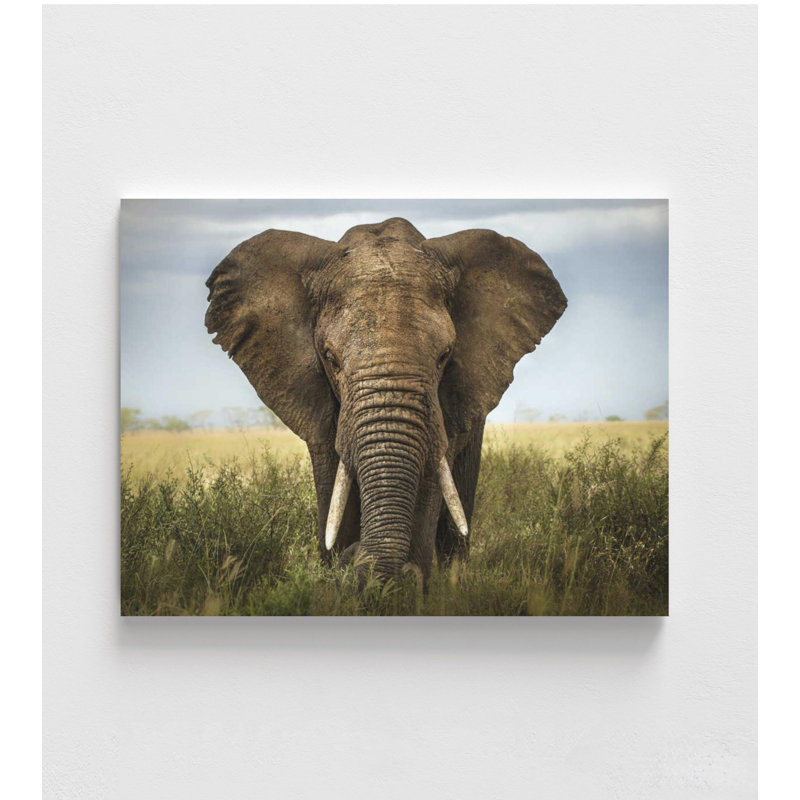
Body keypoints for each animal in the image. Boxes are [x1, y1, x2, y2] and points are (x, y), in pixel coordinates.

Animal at [205, 217, 566, 581]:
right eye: (331, 359)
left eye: (444, 356)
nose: (355, 557)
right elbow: (334, 489)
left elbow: (430, 482)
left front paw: (406, 583)